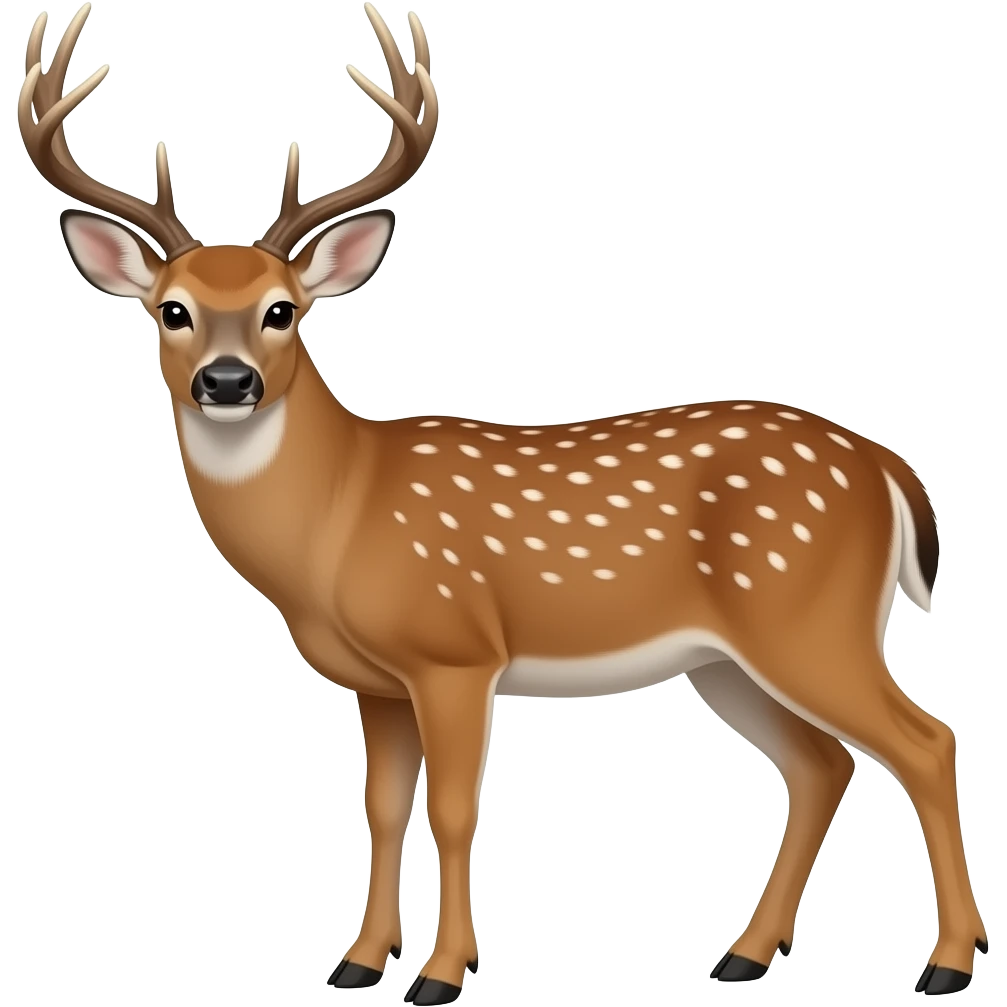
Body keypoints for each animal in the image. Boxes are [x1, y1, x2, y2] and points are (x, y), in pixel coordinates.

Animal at [20, 3, 986, 1002]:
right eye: (171, 310)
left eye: (283, 310)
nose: (225, 380)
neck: (340, 515)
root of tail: (881, 464)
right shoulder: (378, 681)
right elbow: (379, 807)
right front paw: (358, 961)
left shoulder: (454, 651)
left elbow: (451, 809)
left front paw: (442, 971)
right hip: (726, 657)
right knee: (820, 762)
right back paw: (744, 953)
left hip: (808, 615)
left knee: (924, 740)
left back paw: (945, 962)